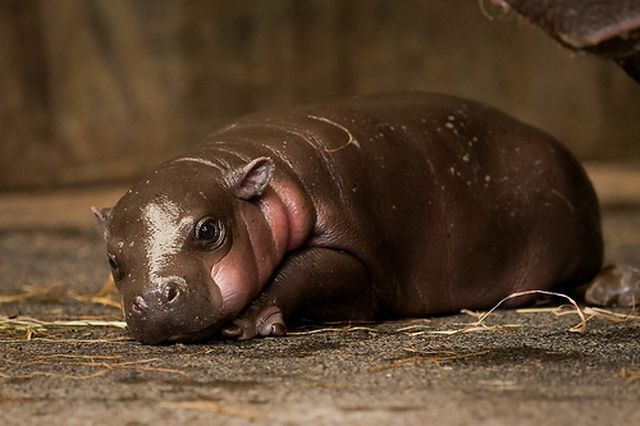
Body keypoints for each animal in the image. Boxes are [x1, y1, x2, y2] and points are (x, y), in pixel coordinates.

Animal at [92, 92, 638, 344]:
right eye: (113, 260)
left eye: (209, 230)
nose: (150, 300)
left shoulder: (356, 258)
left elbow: (306, 269)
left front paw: (250, 324)